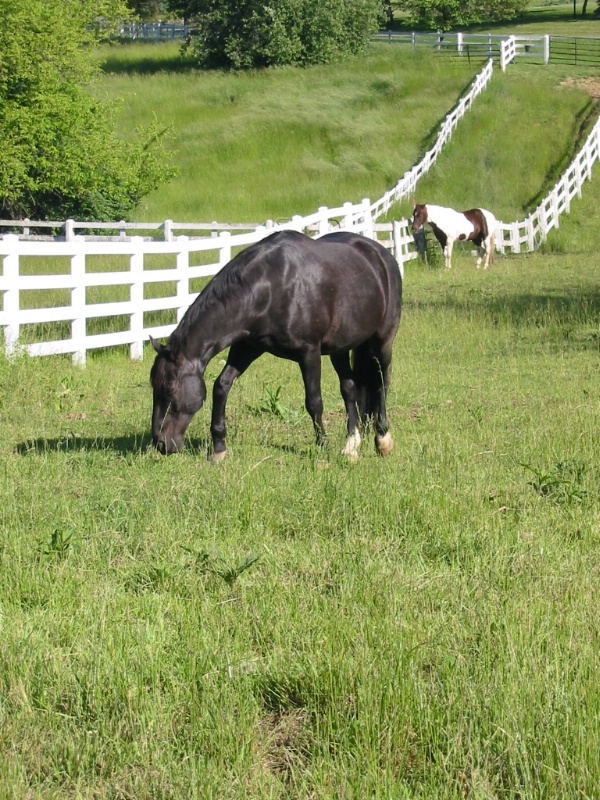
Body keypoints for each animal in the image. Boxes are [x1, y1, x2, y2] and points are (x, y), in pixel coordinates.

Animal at [150, 228, 404, 462]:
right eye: (154, 387)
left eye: (170, 389)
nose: (161, 443)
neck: (271, 286)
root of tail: (381, 254)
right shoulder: (247, 348)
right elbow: (221, 386)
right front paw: (219, 448)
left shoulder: (309, 353)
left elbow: (314, 402)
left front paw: (322, 448)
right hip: (339, 348)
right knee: (349, 388)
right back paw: (351, 446)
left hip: (382, 342)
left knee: (382, 383)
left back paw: (383, 439)